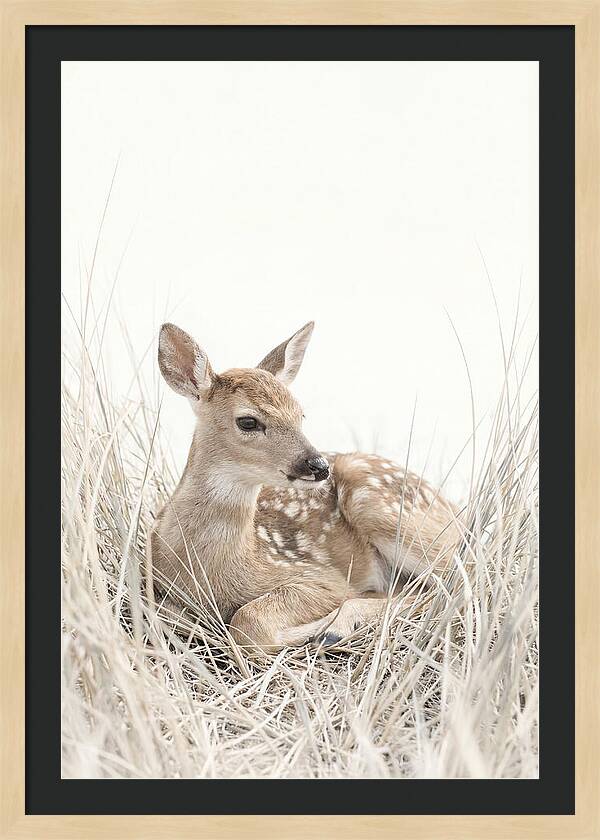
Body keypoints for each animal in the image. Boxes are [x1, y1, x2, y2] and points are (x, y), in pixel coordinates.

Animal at [147, 321, 461, 654]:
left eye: (301, 415)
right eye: (248, 421)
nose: (318, 465)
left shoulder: (319, 576)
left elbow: (249, 622)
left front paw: (313, 630)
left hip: (381, 506)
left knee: (455, 581)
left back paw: (335, 628)